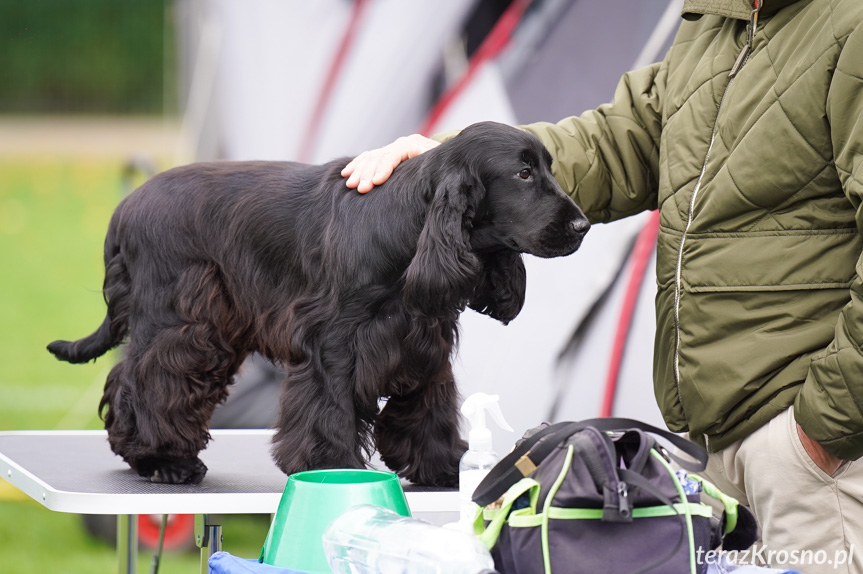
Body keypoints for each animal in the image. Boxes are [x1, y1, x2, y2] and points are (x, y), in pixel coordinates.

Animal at [45, 121, 588, 486]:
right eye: (522, 173)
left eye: (549, 167)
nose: (582, 225)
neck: (408, 225)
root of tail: (125, 207)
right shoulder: (334, 340)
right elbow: (329, 408)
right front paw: (332, 467)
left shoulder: (423, 340)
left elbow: (429, 406)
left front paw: (445, 466)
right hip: (182, 320)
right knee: (147, 379)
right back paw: (163, 460)